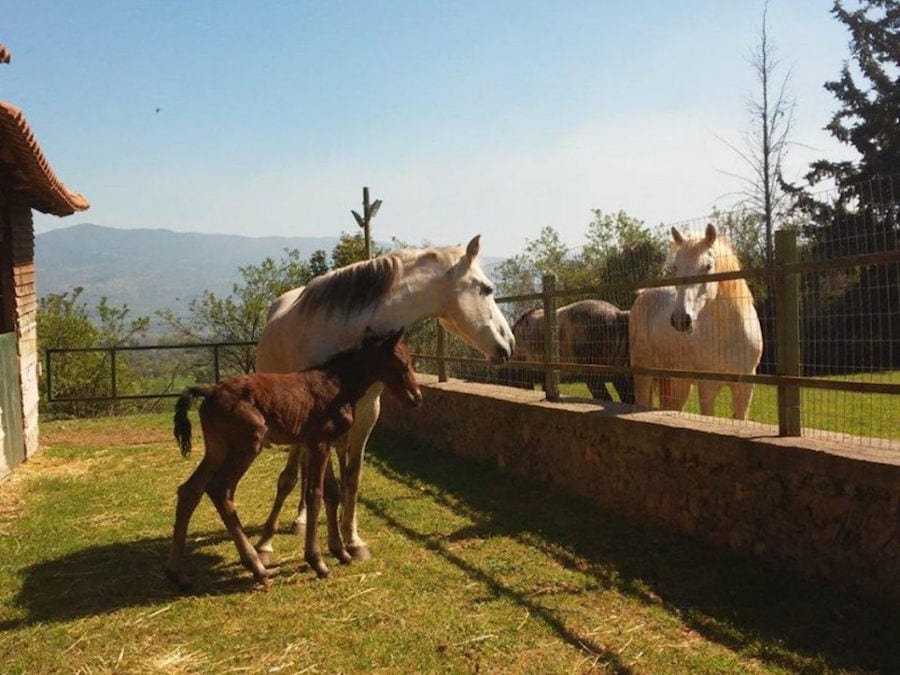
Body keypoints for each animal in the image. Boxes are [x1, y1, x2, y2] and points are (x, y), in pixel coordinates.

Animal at [164, 328, 422, 592]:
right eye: (403, 363)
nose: (416, 397)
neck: (338, 386)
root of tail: (210, 391)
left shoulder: (316, 444)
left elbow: (331, 492)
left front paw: (340, 552)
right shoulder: (319, 443)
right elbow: (315, 495)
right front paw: (317, 562)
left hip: (217, 448)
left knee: (190, 489)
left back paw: (177, 573)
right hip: (248, 445)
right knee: (220, 489)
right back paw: (257, 567)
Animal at [253, 235, 512, 568]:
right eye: (486, 289)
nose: (509, 344)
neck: (348, 332)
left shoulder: (366, 415)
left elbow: (351, 480)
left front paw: (353, 541)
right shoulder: (319, 424)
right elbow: (328, 487)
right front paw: (332, 545)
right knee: (292, 475)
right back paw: (272, 538)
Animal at [628, 224, 764, 420]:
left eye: (708, 266)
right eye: (675, 267)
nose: (680, 320)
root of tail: (643, 295)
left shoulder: (744, 388)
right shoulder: (707, 386)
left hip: (679, 381)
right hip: (644, 373)